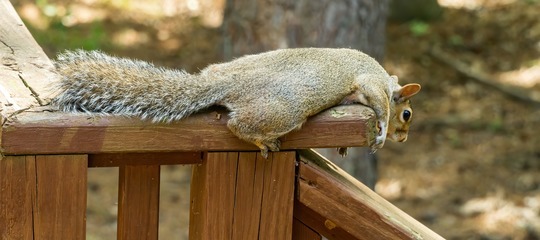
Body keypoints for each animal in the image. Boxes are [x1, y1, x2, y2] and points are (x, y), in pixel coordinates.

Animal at [51, 48, 422, 158]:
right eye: (407, 114)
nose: (404, 138)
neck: (386, 79)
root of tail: (223, 83)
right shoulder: (370, 81)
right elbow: (378, 106)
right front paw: (381, 132)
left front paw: (344, 148)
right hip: (285, 112)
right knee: (237, 125)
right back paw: (261, 141)